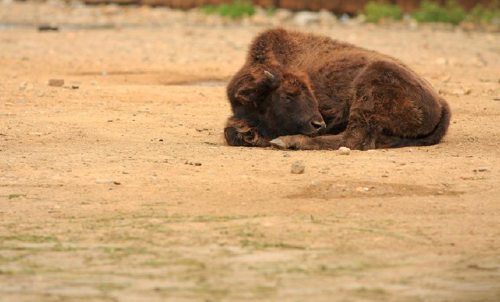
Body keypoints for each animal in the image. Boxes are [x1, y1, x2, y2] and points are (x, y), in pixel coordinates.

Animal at [225, 28, 452, 151]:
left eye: (310, 95)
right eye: (287, 96)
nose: (318, 124)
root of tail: (441, 104)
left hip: (370, 88)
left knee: (353, 139)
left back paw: (287, 141)